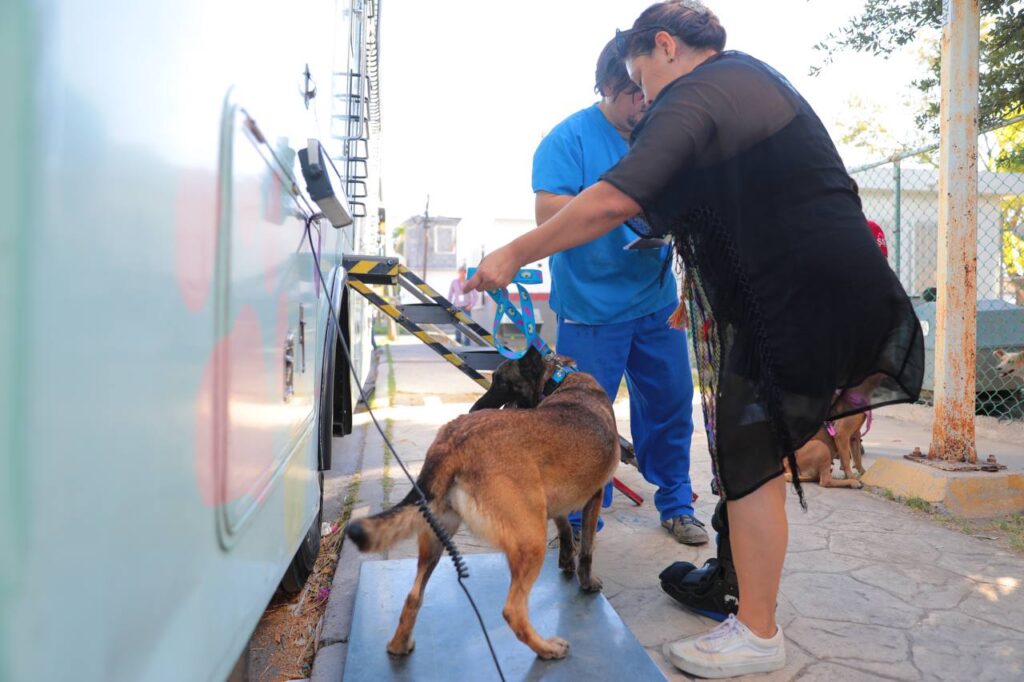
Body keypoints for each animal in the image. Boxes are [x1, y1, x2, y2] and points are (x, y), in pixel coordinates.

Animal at [344, 348, 614, 655]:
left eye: (501, 382)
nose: (475, 408)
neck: (558, 380)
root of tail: (454, 443)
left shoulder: (556, 500)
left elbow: (567, 529)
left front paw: (567, 559)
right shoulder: (595, 496)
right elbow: (587, 550)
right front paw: (586, 581)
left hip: (437, 538)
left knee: (414, 595)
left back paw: (399, 645)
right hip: (531, 540)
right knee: (513, 611)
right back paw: (547, 648)